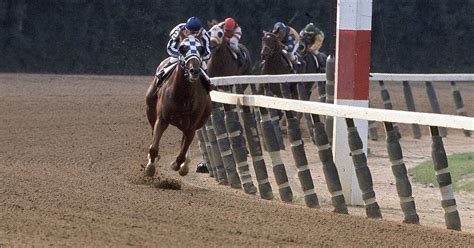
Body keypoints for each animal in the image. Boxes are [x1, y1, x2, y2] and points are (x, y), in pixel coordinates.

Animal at [143, 36, 212, 176]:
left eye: (201, 49)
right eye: (183, 48)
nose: (194, 71)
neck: (183, 94)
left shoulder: (191, 126)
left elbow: (183, 151)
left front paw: (178, 165)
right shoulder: (162, 119)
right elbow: (154, 147)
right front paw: (150, 167)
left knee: (185, 143)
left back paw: (185, 165)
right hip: (150, 111)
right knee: (153, 133)